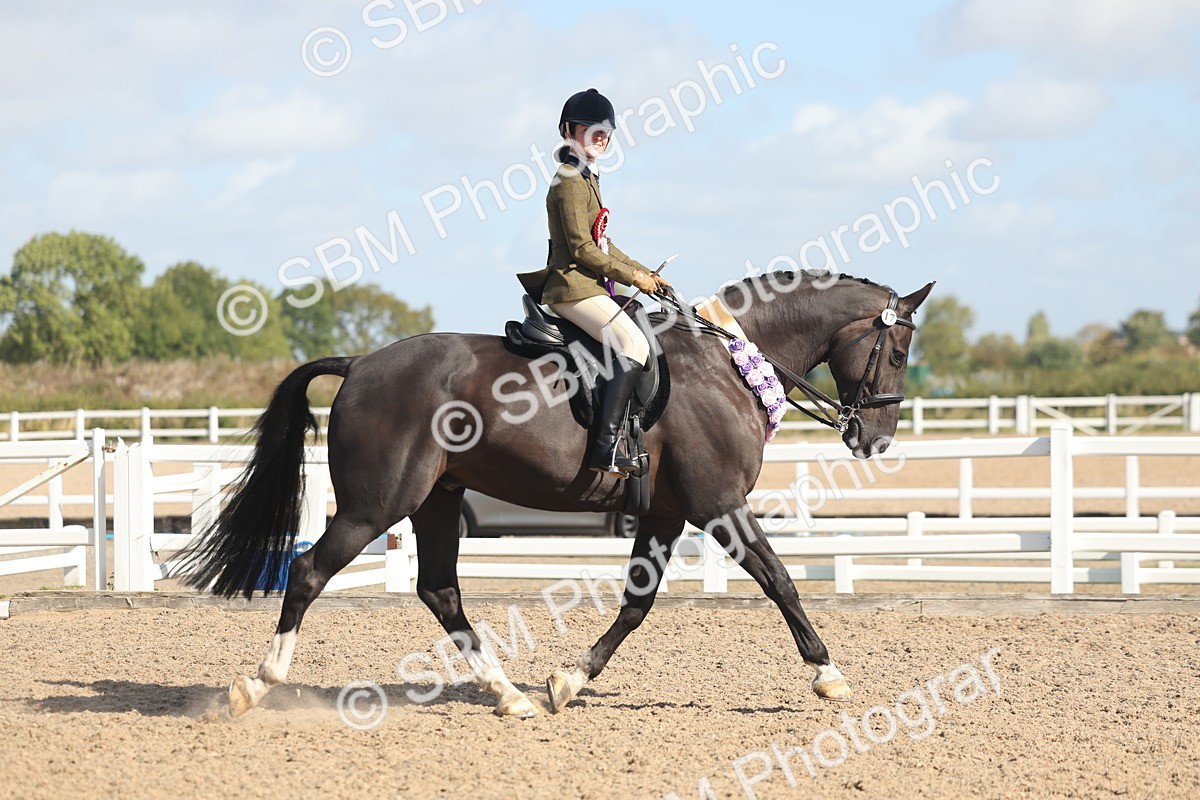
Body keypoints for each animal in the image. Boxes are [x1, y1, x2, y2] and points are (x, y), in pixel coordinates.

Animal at [181, 270, 933, 718]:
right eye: (897, 355)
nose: (874, 440)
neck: (730, 364)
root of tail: (361, 363)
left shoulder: (666, 514)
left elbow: (636, 605)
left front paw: (568, 681)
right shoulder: (718, 506)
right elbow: (781, 581)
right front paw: (829, 674)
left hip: (437, 500)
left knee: (439, 590)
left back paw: (509, 695)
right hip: (378, 505)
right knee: (310, 570)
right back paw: (256, 683)